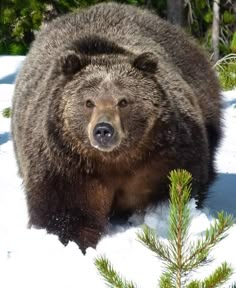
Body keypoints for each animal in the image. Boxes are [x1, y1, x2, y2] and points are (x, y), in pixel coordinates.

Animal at [10, 2, 221, 252]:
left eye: (123, 101)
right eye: (88, 102)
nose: (103, 130)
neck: (115, 161)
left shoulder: (165, 155)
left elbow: (178, 186)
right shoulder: (65, 166)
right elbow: (65, 212)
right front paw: (72, 241)